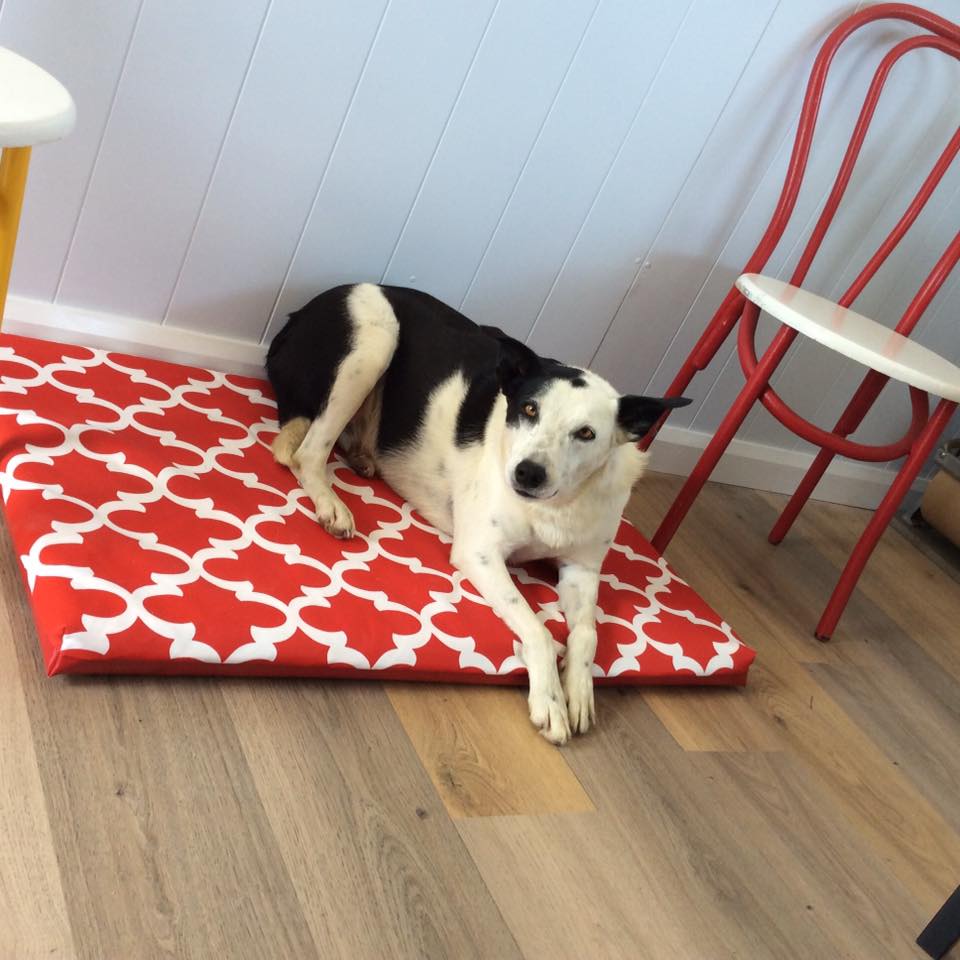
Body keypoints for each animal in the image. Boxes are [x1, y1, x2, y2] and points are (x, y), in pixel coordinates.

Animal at [266, 282, 688, 748]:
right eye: (529, 410)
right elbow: (539, 630)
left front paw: (579, 691)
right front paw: (550, 699)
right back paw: (332, 504)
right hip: (374, 338)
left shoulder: (583, 569)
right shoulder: (480, 554)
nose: (528, 472)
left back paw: (361, 457)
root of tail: (294, 316)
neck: (556, 502)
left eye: (586, 434)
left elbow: (587, 633)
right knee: (306, 454)